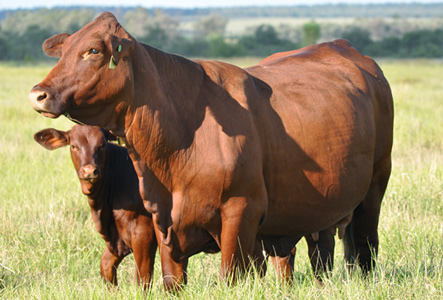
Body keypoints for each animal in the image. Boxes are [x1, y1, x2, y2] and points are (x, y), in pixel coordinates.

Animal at [33, 124, 158, 288]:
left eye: (102, 145)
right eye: (73, 146)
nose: (89, 171)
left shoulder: (143, 233)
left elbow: (142, 280)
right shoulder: (118, 238)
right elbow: (106, 267)